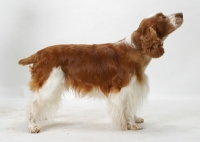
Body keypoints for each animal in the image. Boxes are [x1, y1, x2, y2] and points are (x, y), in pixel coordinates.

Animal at [18, 12, 183, 133]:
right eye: (163, 17)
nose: (181, 13)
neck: (136, 48)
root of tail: (40, 53)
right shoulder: (125, 88)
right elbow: (128, 108)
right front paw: (131, 124)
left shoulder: (133, 88)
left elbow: (132, 107)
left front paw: (136, 118)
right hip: (49, 84)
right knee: (32, 105)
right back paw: (33, 126)